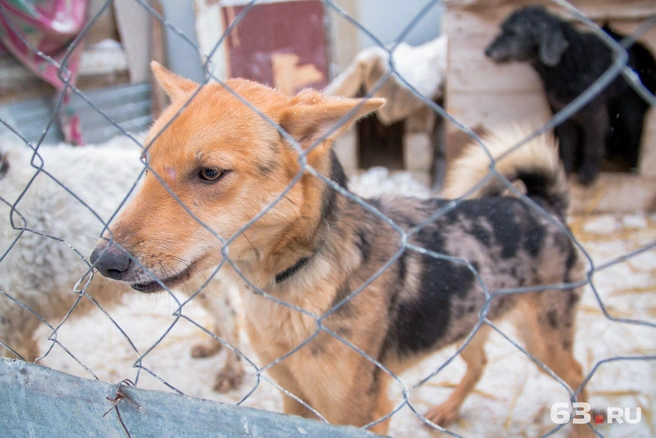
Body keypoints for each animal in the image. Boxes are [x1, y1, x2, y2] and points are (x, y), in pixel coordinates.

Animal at [91, 62, 596, 438]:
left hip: (542, 337)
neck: (287, 282)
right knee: (481, 363)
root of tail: (543, 204)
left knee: (576, 374)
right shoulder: (293, 400)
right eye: (146, 164)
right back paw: (449, 408)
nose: (102, 261)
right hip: (467, 321)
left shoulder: (360, 411)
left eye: (210, 173)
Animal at [484, 6, 652, 185]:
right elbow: (566, 143)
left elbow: (593, 143)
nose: (487, 52)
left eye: (514, 33)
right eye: (502, 30)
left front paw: (588, 173)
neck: (569, 61)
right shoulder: (563, 112)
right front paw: (564, 170)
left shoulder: (594, 114)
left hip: (630, 108)